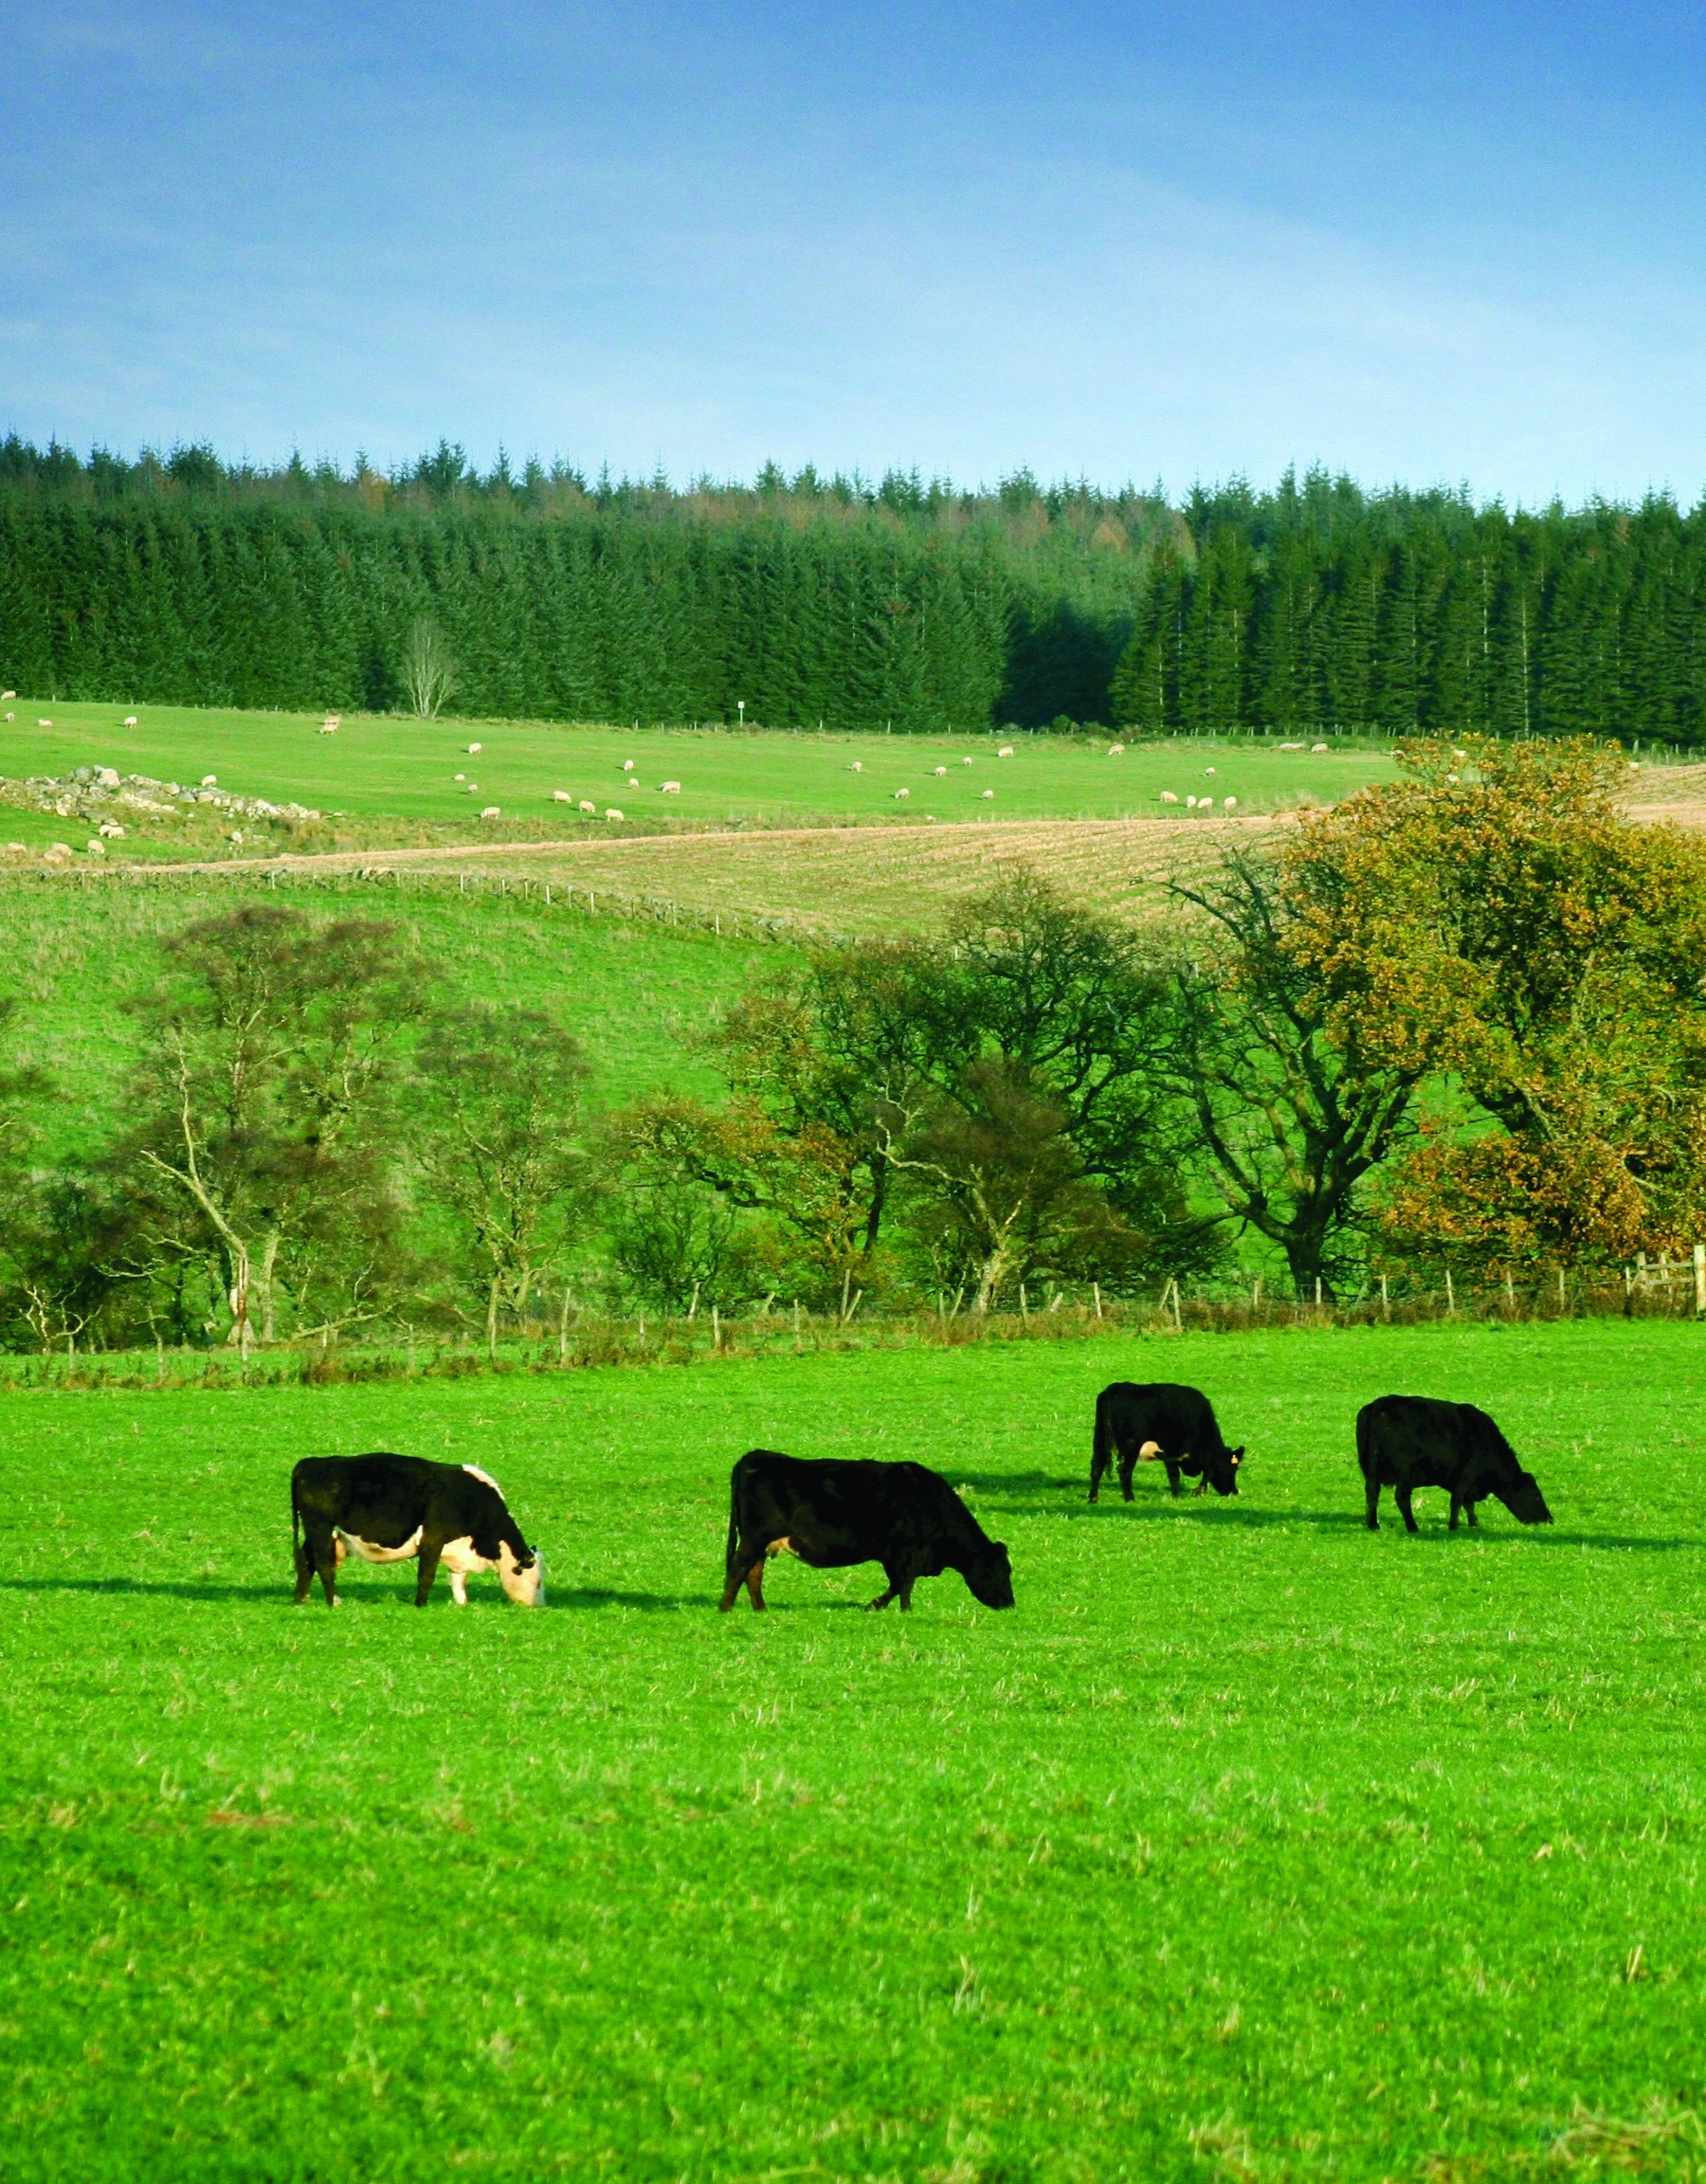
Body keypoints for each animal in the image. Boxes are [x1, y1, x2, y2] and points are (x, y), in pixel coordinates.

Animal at [290, 1454, 544, 1607]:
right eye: (538, 1582)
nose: (538, 1608)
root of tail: (310, 1462)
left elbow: (458, 1581)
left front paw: (462, 1605)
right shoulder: (433, 1537)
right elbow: (427, 1574)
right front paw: (421, 1604)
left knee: (306, 1561)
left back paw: (302, 1599)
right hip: (320, 1527)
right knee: (323, 1564)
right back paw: (331, 1601)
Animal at [719, 1449, 1014, 1614]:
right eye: (998, 1570)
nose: (1009, 1604)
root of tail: (756, 1456)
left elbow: (898, 1585)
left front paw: (876, 1606)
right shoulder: (904, 1553)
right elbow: (903, 1584)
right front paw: (901, 1610)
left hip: (760, 1541)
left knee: (753, 1572)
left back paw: (761, 1610)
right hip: (755, 1537)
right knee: (739, 1568)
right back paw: (725, 1609)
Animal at [1089, 1382, 1244, 1503]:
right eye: (1233, 1467)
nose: (1234, 1491)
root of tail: (1113, 1389)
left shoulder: (1169, 1452)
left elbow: (1173, 1474)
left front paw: (1176, 1496)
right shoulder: (1176, 1449)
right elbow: (1204, 1471)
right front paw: (1196, 1492)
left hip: (1100, 1438)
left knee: (1097, 1466)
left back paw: (1093, 1499)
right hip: (1131, 1445)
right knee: (1124, 1469)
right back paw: (1130, 1499)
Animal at [1356, 1396, 1553, 1533]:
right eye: (1536, 1496)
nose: (1549, 1519)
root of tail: (1379, 1405)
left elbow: (1468, 1503)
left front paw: (1474, 1524)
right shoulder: (1467, 1475)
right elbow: (1458, 1501)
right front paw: (1454, 1526)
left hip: (1371, 1470)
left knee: (1372, 1493)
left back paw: (1373, 1525)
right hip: (1405, 1473)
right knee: (1401, 1497)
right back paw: (1412, 1527)